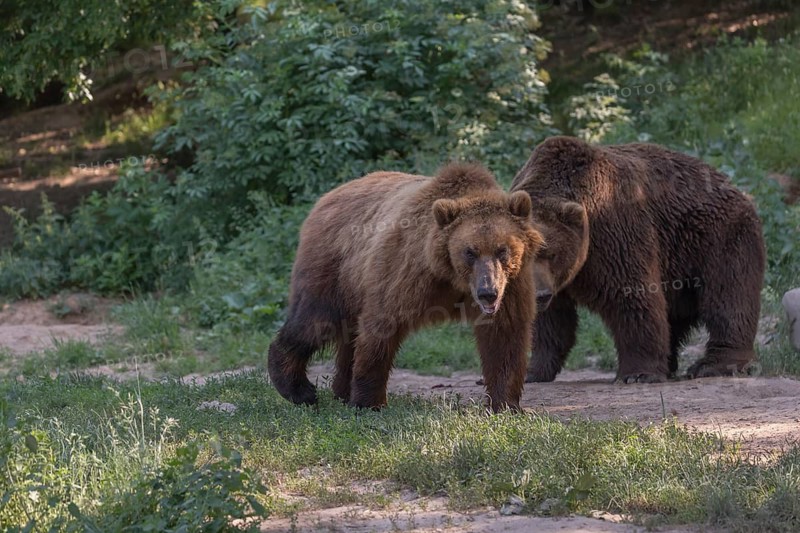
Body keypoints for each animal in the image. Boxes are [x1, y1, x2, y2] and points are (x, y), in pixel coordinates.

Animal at [268, 163, 544, 411]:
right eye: (469, 252)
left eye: (502, 250)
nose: (487, 293)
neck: (451, 277)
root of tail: (326, 198)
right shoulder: (407, 272)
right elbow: (382, 325)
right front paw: (369, 403)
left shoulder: (512, 284)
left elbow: (504, 336)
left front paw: (506, 404)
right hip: (334, 267)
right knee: (316, 320)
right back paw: (299, 388)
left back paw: (341, 391)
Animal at [511, 136, 766, 384]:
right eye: (518, 256)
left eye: (550, 253)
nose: (539, 295)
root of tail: (733, 185)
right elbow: (550, 321)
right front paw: (533, 372)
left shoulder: (612, 230)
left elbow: (632, 294)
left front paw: (638, 373)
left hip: (717, 237)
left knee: (728, 297)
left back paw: (713, 364)